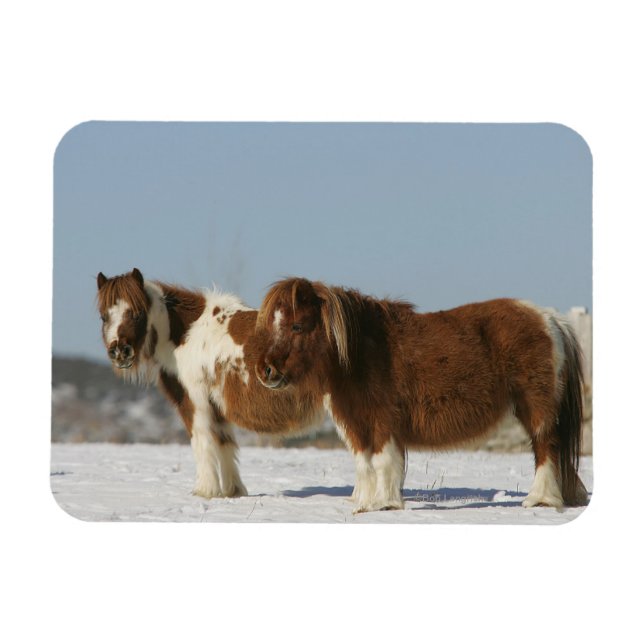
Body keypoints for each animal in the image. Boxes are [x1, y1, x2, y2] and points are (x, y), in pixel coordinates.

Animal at [96, 268, 324, 498]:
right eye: (104, 316)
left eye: (137, 313)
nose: (120, 351)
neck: (187, 334)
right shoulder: (216, 407)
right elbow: (224, 443)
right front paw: (233, 491)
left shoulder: (196, 402)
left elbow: (202, 441)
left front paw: (205, 490)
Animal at [254, 277, 589, 513]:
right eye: (273, 324)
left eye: (297, 326)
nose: (265, 370)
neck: (362, 351)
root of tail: (549, 318)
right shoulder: (355, 422)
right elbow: (364, 464)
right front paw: (364, 504)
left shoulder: (382, 420)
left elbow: (382, 461)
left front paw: (385, 504)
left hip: (536, 409)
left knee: (546, 448)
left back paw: (539, 500)